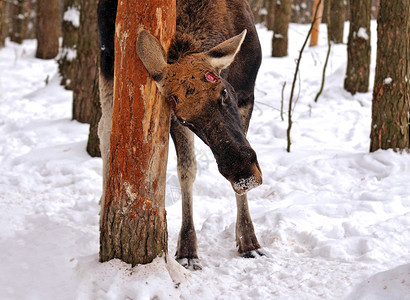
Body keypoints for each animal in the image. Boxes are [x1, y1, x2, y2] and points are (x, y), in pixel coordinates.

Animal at [99, 0, 264, 270]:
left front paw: (250, 241)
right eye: (186, 118)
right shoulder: (174, 121)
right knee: (105, 129)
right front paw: (188, 248)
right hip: (107, 58)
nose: (243, 175)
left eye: (223, 92)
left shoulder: (246, 96)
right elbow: (187, 170)